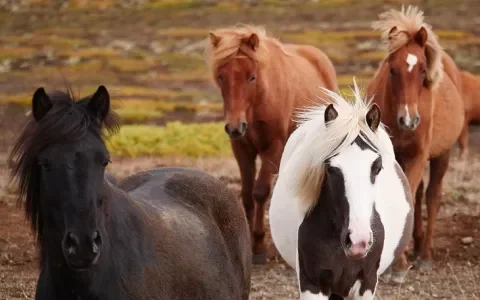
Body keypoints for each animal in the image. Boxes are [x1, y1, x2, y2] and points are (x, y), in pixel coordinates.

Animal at [205, 25, 338, 262]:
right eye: (221, 77)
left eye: (252, 77)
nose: (235, 127)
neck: (258, 102)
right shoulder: (242, 149)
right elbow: (246, 194)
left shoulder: (272, 149)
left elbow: (260, 191)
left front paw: (259, 244)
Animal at [366, 6, 464, 284]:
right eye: (392, 70)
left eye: (422, 70)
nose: (408, 120)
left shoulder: (419, 156)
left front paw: (398, 266)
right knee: (420, 194)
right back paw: (417, 244)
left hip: (442, 155)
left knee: (432, 196)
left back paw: (425, 255)